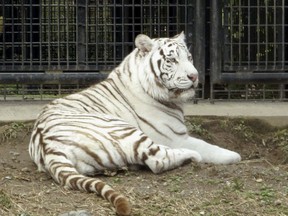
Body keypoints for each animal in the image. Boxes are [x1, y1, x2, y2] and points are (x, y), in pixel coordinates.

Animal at [29, 32, 241, 216]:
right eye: (172, 60)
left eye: (189, 57)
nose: (194, 76)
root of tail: (48, 146)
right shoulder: (175, 138)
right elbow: (206, 146)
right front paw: (233, 155)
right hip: (125, 130)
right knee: (158, 159)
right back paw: (191, 156)